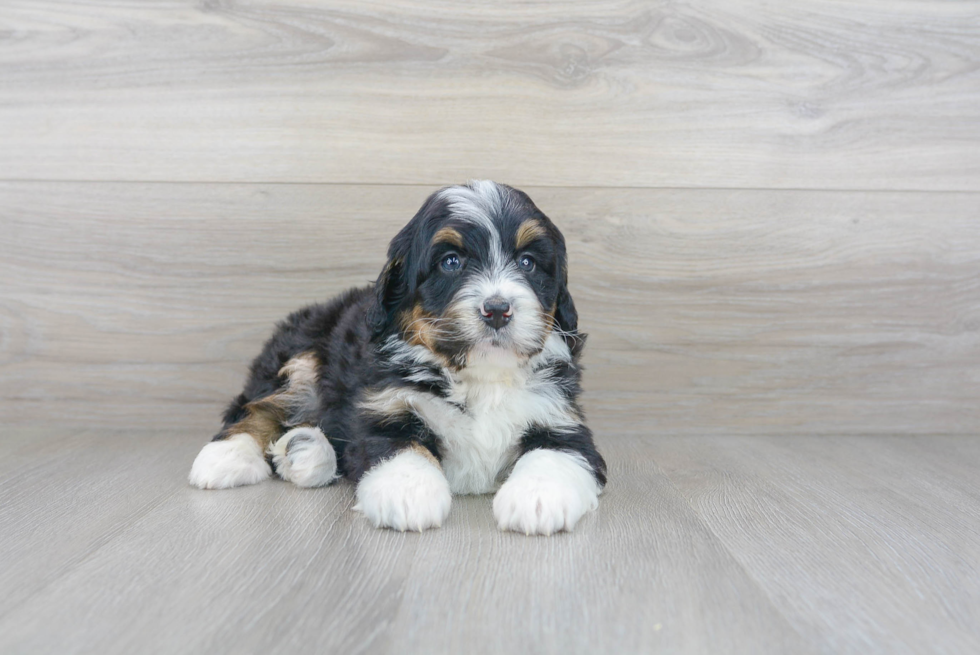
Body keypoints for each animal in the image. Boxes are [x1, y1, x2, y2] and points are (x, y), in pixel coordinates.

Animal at [189, 178, 604, 532]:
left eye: (527, 262)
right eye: (450, 262)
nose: (498, 309)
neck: (481, 375)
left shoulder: (560, 417)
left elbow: (556, 453)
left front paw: (537, 498)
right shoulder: (386, 408)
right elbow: (400, 448)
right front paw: (408, 493)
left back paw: (303, 451)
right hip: (305, 351)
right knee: (257, 407)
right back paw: (227, 457)